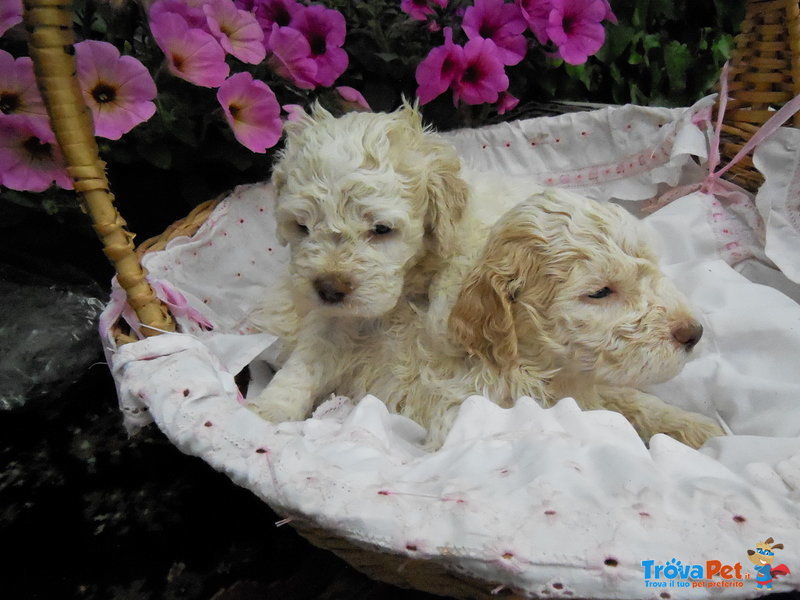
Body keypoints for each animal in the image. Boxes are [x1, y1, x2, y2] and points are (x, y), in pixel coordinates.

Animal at [250, 102, 468, 422]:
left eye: (382, 229)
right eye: (302, 227)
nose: (329, 290)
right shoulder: (333, 320)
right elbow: (307, 359)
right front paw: (270, 409)